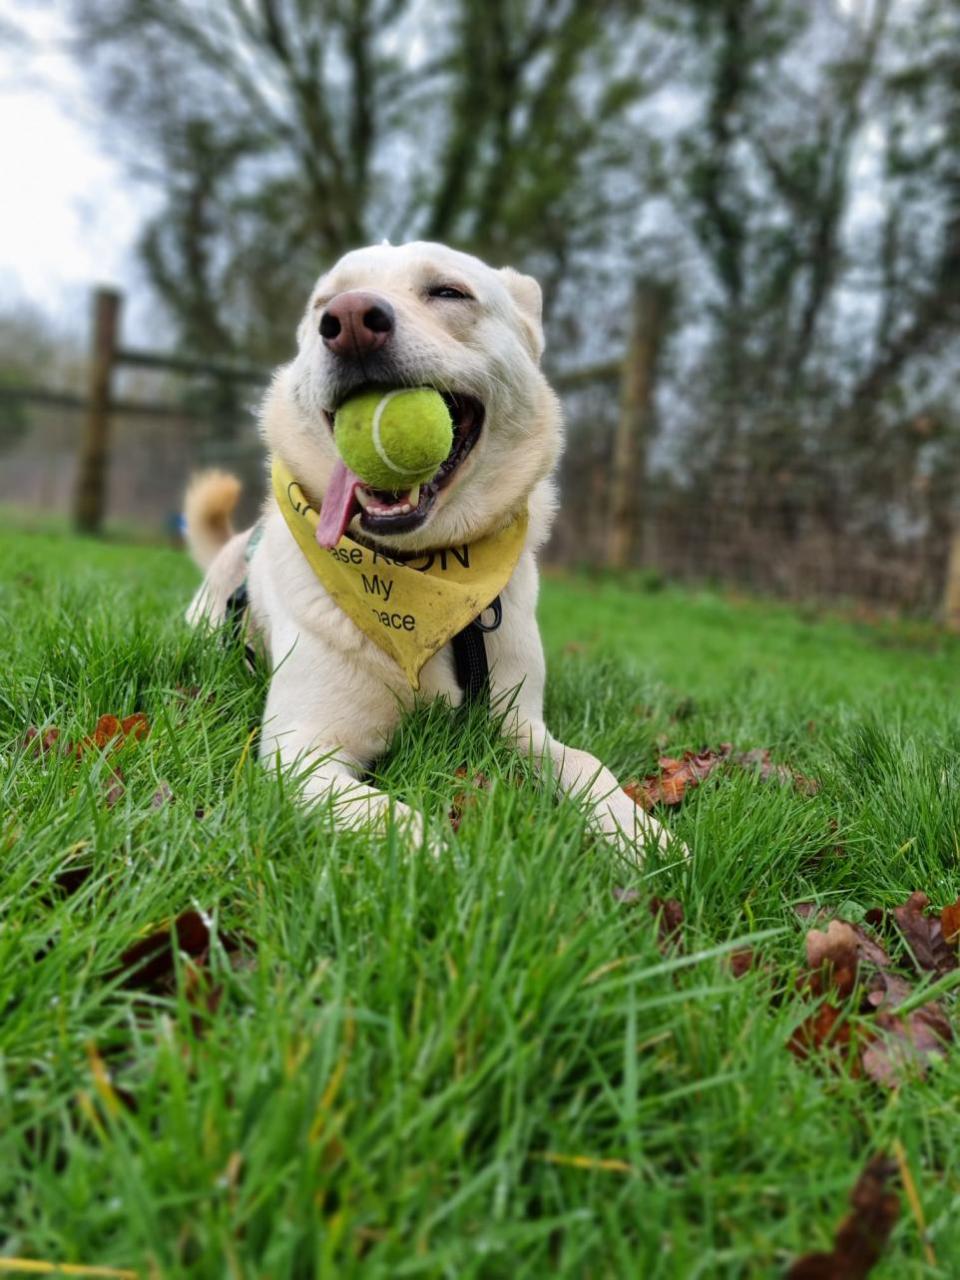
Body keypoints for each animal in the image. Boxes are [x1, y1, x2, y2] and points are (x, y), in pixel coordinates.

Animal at [184, 240, 680, 860]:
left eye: (448, 292)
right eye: (324, 303)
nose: (348, 321)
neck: (422, 573)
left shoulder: (522, 728)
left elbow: (588, 765)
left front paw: (641, 834)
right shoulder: (300, 754)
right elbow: (404, 825)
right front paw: (463, 866)